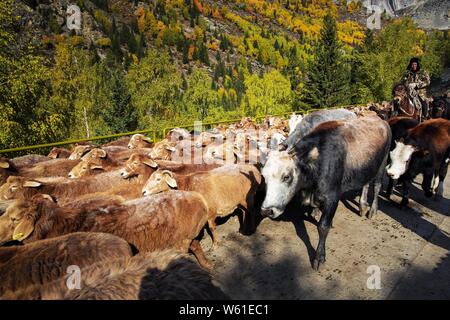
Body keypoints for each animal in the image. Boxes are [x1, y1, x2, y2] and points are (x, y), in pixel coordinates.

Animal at [0, 191, 213, 268]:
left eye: (14, 218)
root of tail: (199, 199)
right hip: (186, 238)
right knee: (197, 247)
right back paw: (207, 266)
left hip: (179, 242)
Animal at [260, 115, 390, 270]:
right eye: (264, 176)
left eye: (287, 176)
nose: (267, 210)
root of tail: (381, 120)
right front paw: (317, 212)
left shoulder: (332, 197)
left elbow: (323, 227)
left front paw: (319, 257)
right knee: (366, 183)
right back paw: (362, 205)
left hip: (382, 164)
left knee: (376, 186)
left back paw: (372, 210)